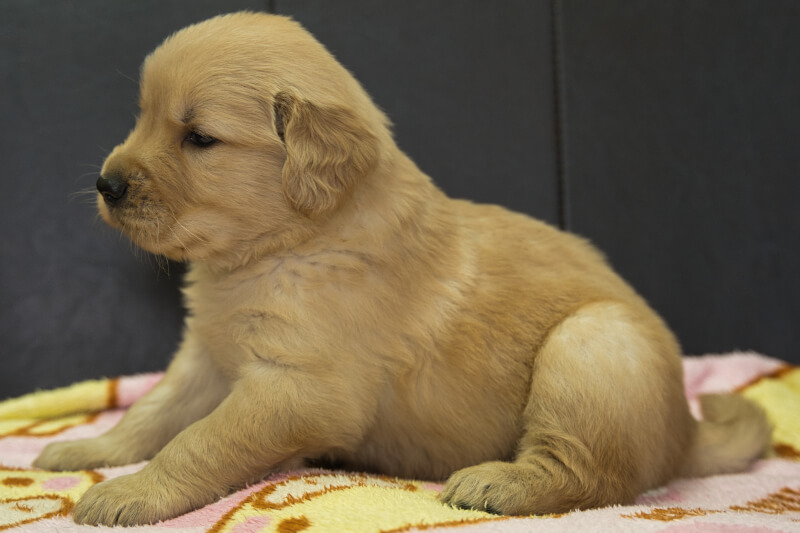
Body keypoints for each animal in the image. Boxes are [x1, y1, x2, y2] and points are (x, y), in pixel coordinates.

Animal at [32, 11, 768, 524]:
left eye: (199, 138)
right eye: (143, 116)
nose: (105, 184)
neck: (283, 248)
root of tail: (686, 429)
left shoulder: (297, 388)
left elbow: (200, 441)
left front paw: (134, 491)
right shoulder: (207, 359)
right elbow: (152, 412)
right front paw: (91, 451)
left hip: (592, 343)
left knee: (592, 475)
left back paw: (500, 480)